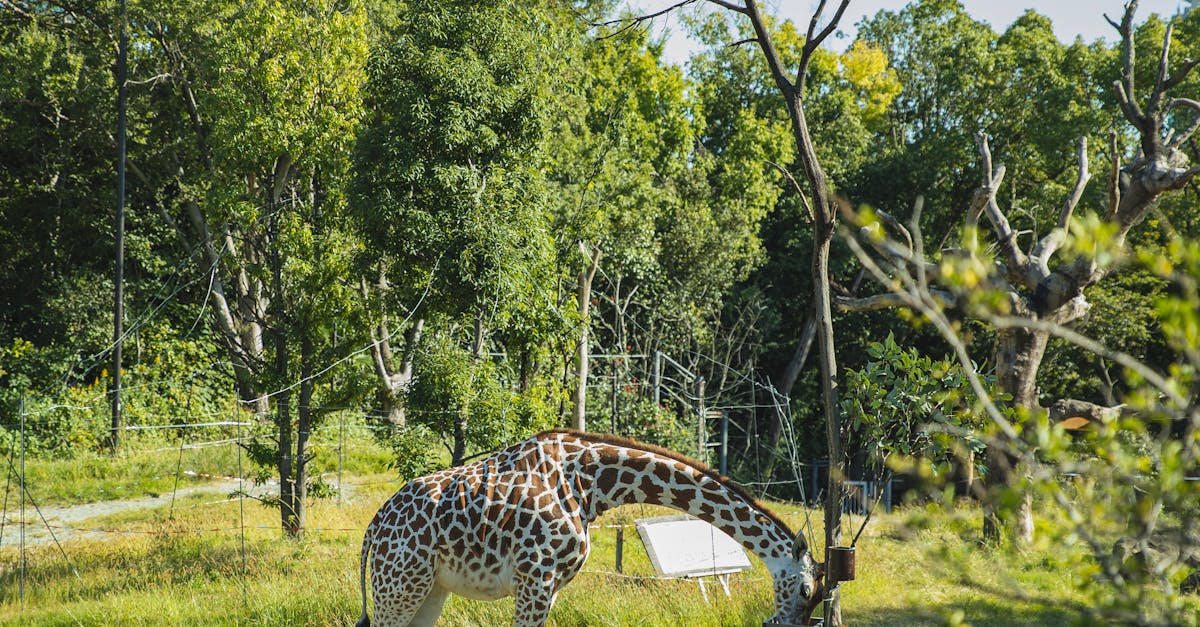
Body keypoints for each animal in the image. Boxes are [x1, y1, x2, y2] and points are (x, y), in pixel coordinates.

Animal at [355, 427, 825, 619]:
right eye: (805, 590)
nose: (787, 625)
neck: (591, 484)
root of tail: (373, 527)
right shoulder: (535, 580)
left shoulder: (552, 587)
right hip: (400, 585)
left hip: (429, 589)